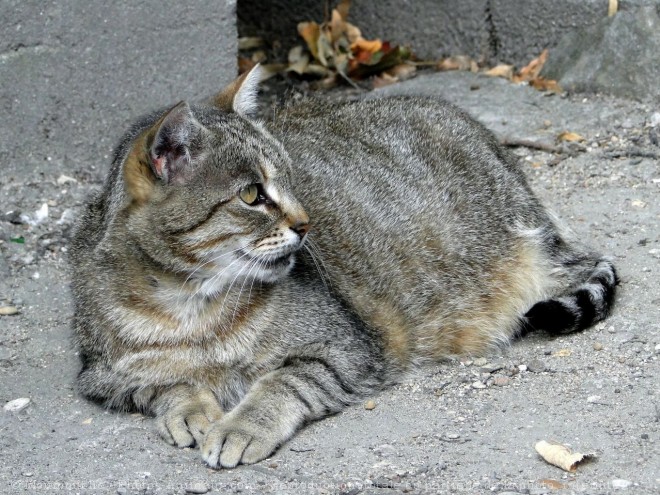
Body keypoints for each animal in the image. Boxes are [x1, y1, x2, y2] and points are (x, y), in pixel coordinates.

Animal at [69, 66, 616, 468]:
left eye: (291, 179)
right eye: (252, 195)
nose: (306, 223)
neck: (191, 303)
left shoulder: (345, 350)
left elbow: (280, 384)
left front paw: (239, 425)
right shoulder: (103, 375)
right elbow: (166, 384)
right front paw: (189, 407)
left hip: (536, 255)